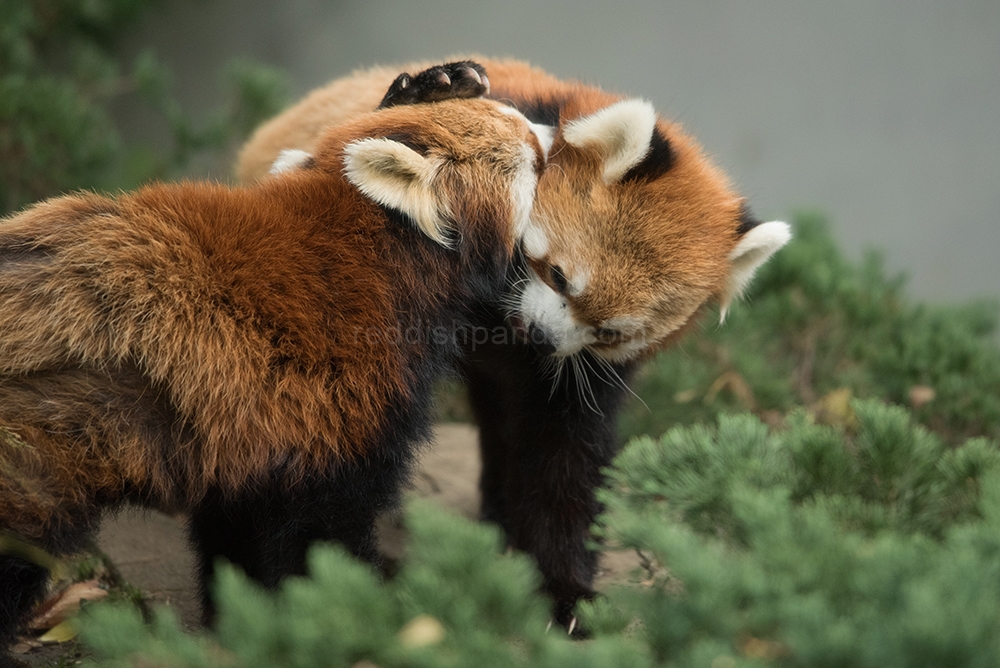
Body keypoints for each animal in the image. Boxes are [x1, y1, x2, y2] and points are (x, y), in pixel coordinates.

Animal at [0, 69, 548, 656]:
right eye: (534, 158)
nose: (548, 129)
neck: (389, 253)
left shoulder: (243, 436)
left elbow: (236, 530)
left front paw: (242, 619)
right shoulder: (337, 407)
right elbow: (323, 535)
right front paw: (345, 617)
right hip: (34, 459)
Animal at [234, 56, 788, 628]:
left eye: (611, 332)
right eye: (560, 276)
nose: (543, 337)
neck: (504, 322)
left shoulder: (583, 371)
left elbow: (565, 457)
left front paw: (565, 590)